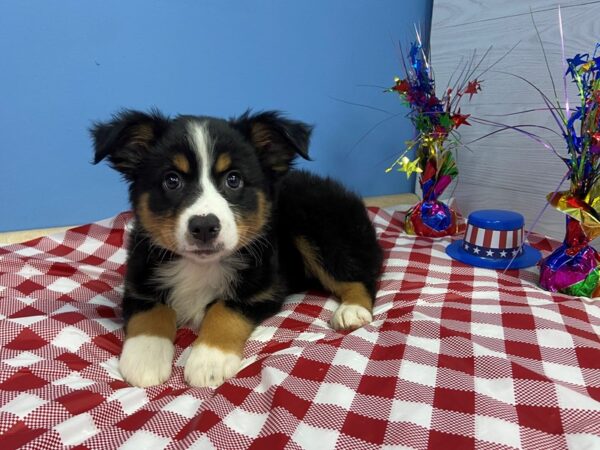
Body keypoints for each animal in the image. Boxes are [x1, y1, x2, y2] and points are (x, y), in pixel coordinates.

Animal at [92, 108, 384, 386]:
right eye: (172, 180)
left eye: (234, 179)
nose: (204, 226)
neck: (200, 266)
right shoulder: (138, 279)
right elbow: (150, 311)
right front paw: (146, 357)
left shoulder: (263, 289)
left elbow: (224, 309)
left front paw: (208, 360)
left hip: (319, 227)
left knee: (359, 274)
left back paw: (352, 310)